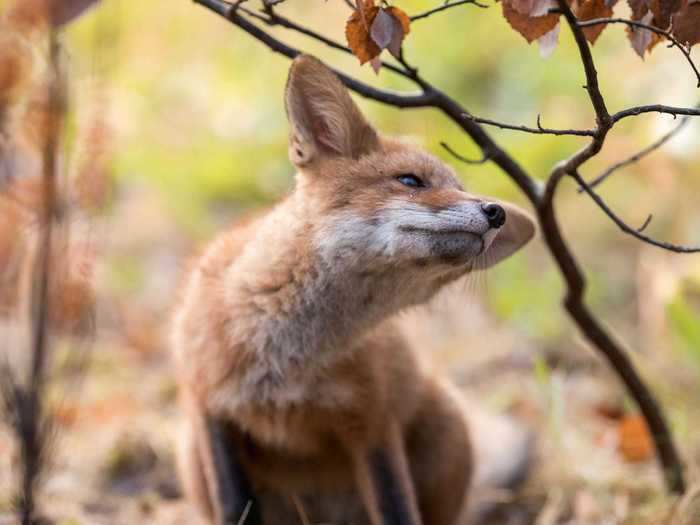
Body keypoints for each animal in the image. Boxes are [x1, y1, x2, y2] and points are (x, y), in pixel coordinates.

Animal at [171, 55, 536, 520]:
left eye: (459, 187)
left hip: (447, 425)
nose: (495, 213)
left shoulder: (373, 424)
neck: (286, 359)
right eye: (410, 181)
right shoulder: (209, 408)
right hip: (189, 455)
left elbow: (397, 510)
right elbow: (235, 506)